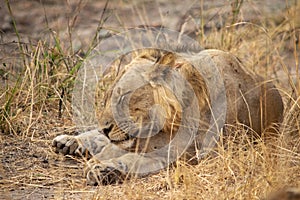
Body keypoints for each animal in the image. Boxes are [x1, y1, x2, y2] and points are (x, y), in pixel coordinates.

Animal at [52, 48, 284, 184]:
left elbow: (132, 158)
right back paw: (69, 141)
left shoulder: (183, 154)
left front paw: (101, 168)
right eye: (108, 97)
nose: (104, 128)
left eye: (124, 96)